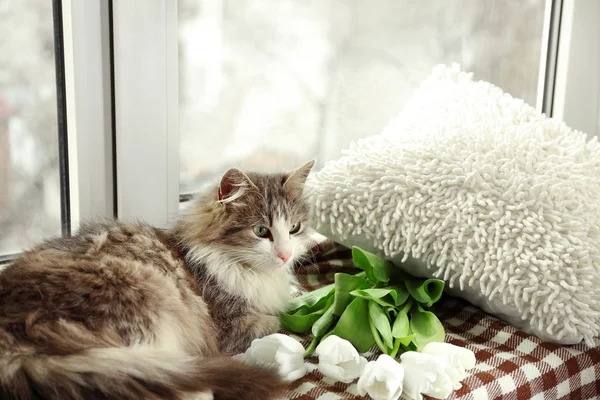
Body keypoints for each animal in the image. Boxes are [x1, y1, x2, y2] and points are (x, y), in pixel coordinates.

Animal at [0, 160, 316, 400]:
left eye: (295, 228)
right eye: (261, 231)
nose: (286, 255)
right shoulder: (234, 325)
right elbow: (275, 320)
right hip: (147, 308)